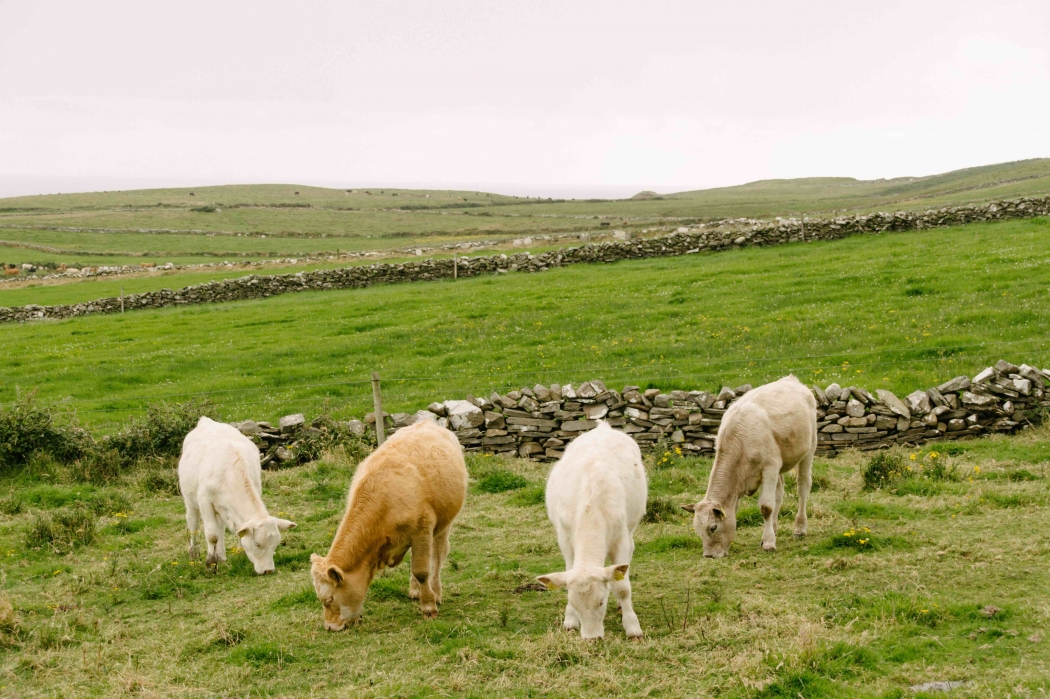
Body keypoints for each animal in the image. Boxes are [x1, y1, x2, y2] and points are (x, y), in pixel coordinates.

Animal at [177, 419, 296, 570]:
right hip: (190, 498)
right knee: (193, 523)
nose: (268, 570)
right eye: (257, 544)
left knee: (220, 528)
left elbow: (233, 532)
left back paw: (221, 556)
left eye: (275, 545)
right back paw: (194, 552)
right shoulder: (205, 500)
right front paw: (210, 561)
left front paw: (238, 553)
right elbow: (212, 534)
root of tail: (207, 421)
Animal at [306, 415, 466, 629]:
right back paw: (415, 590)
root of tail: (426, 422)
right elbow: (416, 566)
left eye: (329, 599)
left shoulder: (422, 531)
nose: (330, 627)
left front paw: (429, 607)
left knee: (438, 556)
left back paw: (436, 591)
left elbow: (421, 570)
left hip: (443, 524)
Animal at [537, 419, 642, 638]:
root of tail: (603, 427)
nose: (591, 639)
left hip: (630, 528)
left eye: (600, 603)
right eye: (575, 604)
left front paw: (632, 627)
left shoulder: (620, 539)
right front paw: (570, 621)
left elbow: (622, 587)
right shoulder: (566, 540)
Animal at [680, 373, 818, 558]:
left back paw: (800, 528)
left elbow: (766, 507)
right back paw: (774, 528)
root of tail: (791, 379)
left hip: (809, 449)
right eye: (697, 531)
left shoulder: (769, 467)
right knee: (779, 494)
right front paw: (767, 537)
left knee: (803, 486)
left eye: (713, 527)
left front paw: (769, 543)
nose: (709, 555)